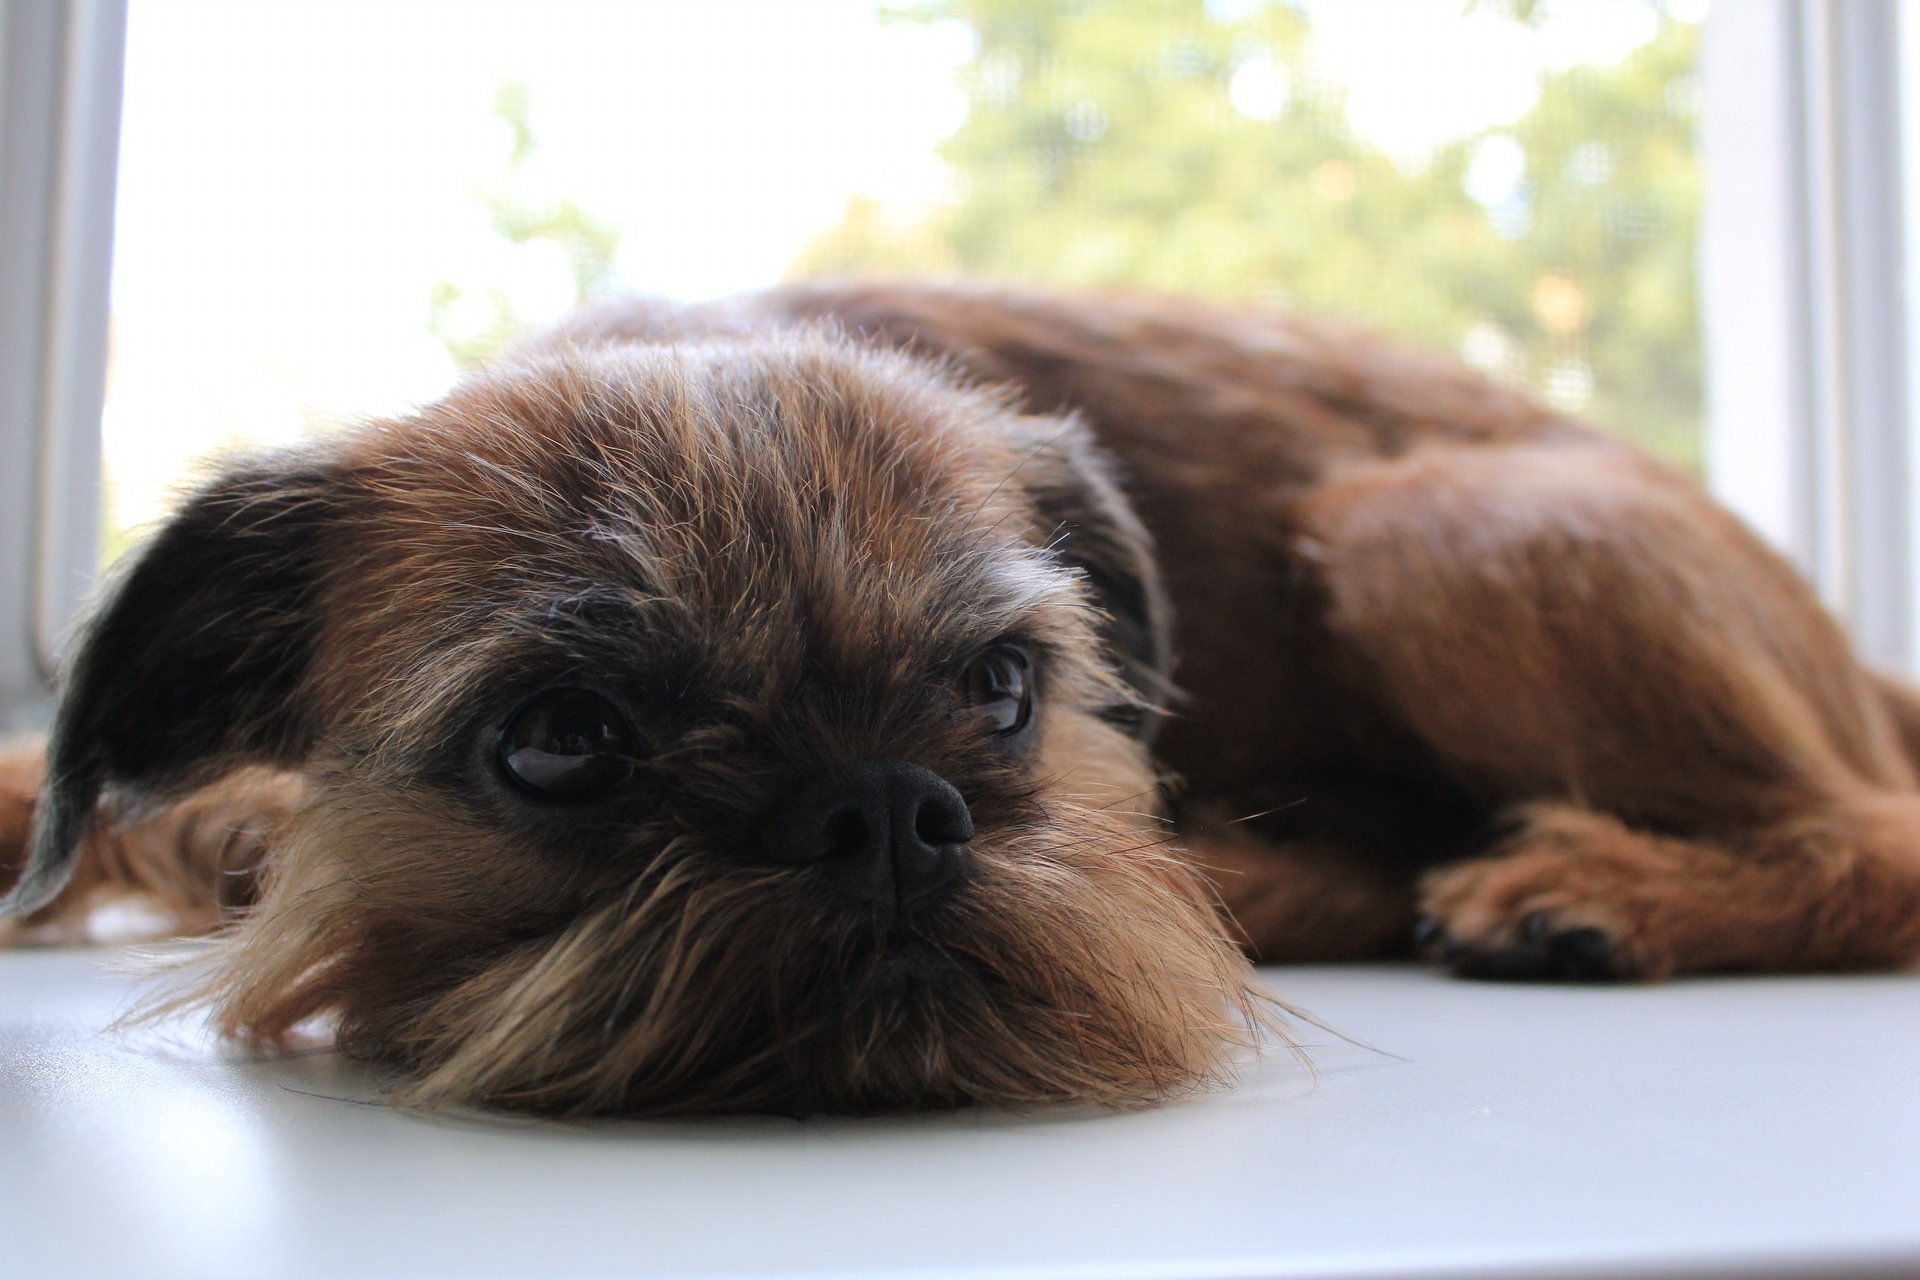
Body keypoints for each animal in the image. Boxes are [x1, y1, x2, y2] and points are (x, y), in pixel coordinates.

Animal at [5, 280, 1920, 1116]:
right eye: (557, 744)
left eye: (1003, 690)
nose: (880, 809)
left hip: (1428, 531)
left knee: (1874, 838)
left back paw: (1603, 893)